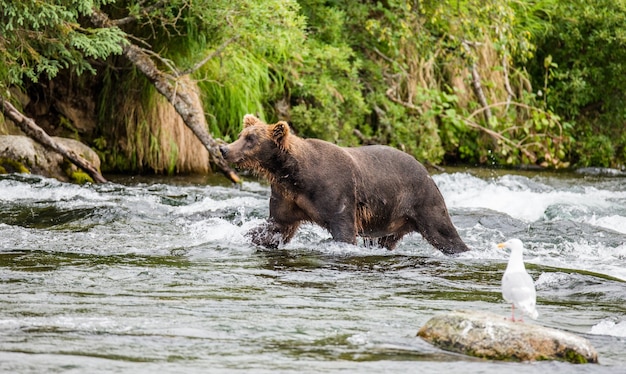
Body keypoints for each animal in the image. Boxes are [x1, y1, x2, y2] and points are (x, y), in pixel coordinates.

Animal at [219, 114, 468, 254]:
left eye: (251, 139)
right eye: (241, 134)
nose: (224, 148)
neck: (295, 175)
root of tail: (427, 171)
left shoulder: (336, 193)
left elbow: (344, 230)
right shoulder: (287, 196)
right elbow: (276, 226)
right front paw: (245, 236)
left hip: (422, 201)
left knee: (444, 233)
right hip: (392, 219)